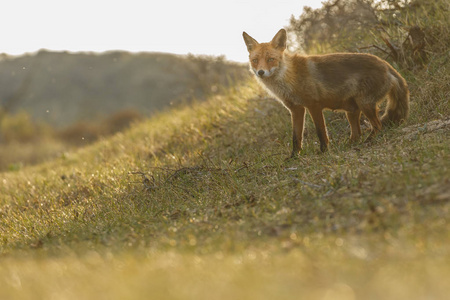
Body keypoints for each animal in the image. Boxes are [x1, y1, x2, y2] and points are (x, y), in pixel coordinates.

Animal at [244, 29, 410, 156]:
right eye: (255, 60)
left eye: (271, 59)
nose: (260, 72)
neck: (289, 78)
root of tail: (387, 65)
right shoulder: (296, 109)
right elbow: (296, 137)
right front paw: (294, 157)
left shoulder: (314, 105)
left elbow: (321, 132)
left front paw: (324, 152)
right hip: (352, 111)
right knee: (357, 134)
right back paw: (349, 145)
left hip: (365, 105)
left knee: (377, 126)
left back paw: (368, 142)